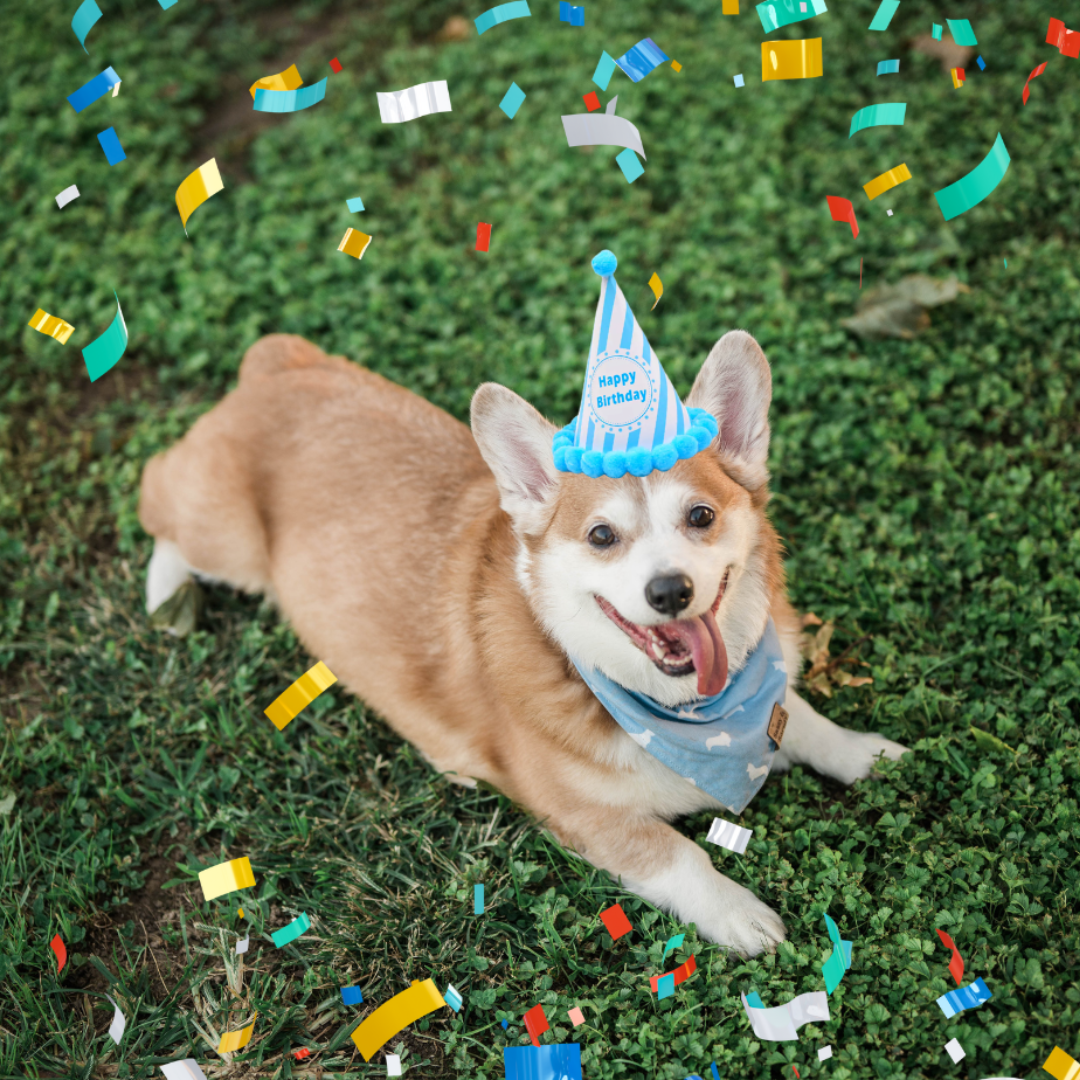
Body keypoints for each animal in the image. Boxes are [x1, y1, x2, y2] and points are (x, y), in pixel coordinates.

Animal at [139, 328, 907, 954]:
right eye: (601, 536)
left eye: (700, 516)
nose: (669, 592)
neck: (690, 715)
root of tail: (272, 368)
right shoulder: (588, 817)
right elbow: (676, 854)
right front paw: (739, 913)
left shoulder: (766, 706)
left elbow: (803, 721)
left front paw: (869, 754)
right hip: (226, 543)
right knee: (158, 498)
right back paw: (164, 594)